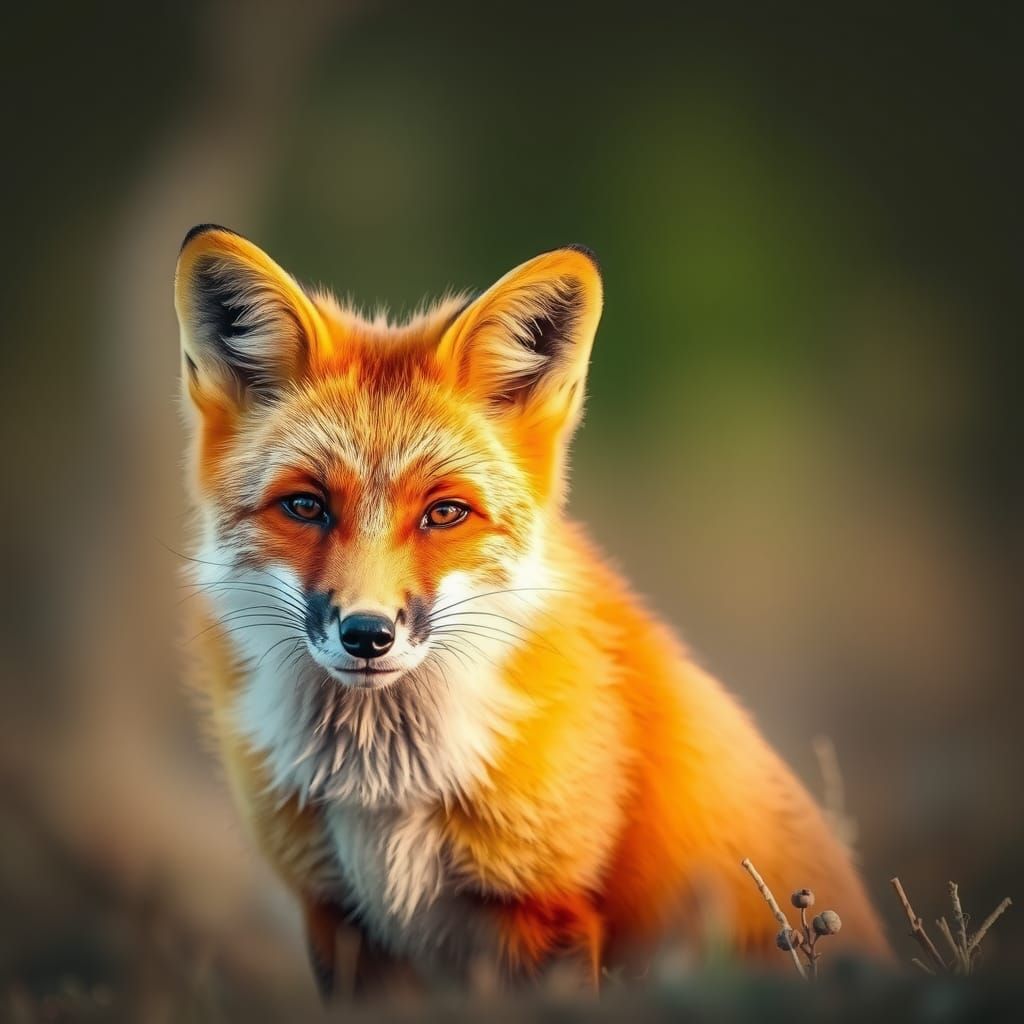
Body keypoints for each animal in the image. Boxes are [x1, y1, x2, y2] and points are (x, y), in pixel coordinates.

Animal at [174, 225, 890, 996]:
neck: (384, 792)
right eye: (306, 506)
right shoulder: (336, 919)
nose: (367, 634)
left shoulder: (549, 911)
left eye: (445, 513)